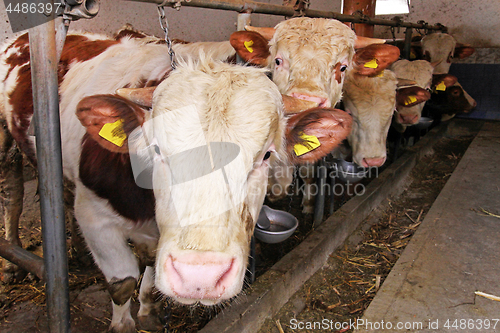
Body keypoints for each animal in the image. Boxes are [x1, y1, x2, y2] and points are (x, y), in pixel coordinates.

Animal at [0, 30, 352, 330]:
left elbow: (149, 272)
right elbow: (123, 281)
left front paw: (147, 311)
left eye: (266, 155)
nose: (201, 276)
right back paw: (13, 261)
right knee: (13, 195)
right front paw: (123, 323)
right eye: (155, 147)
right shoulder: (94, 215)